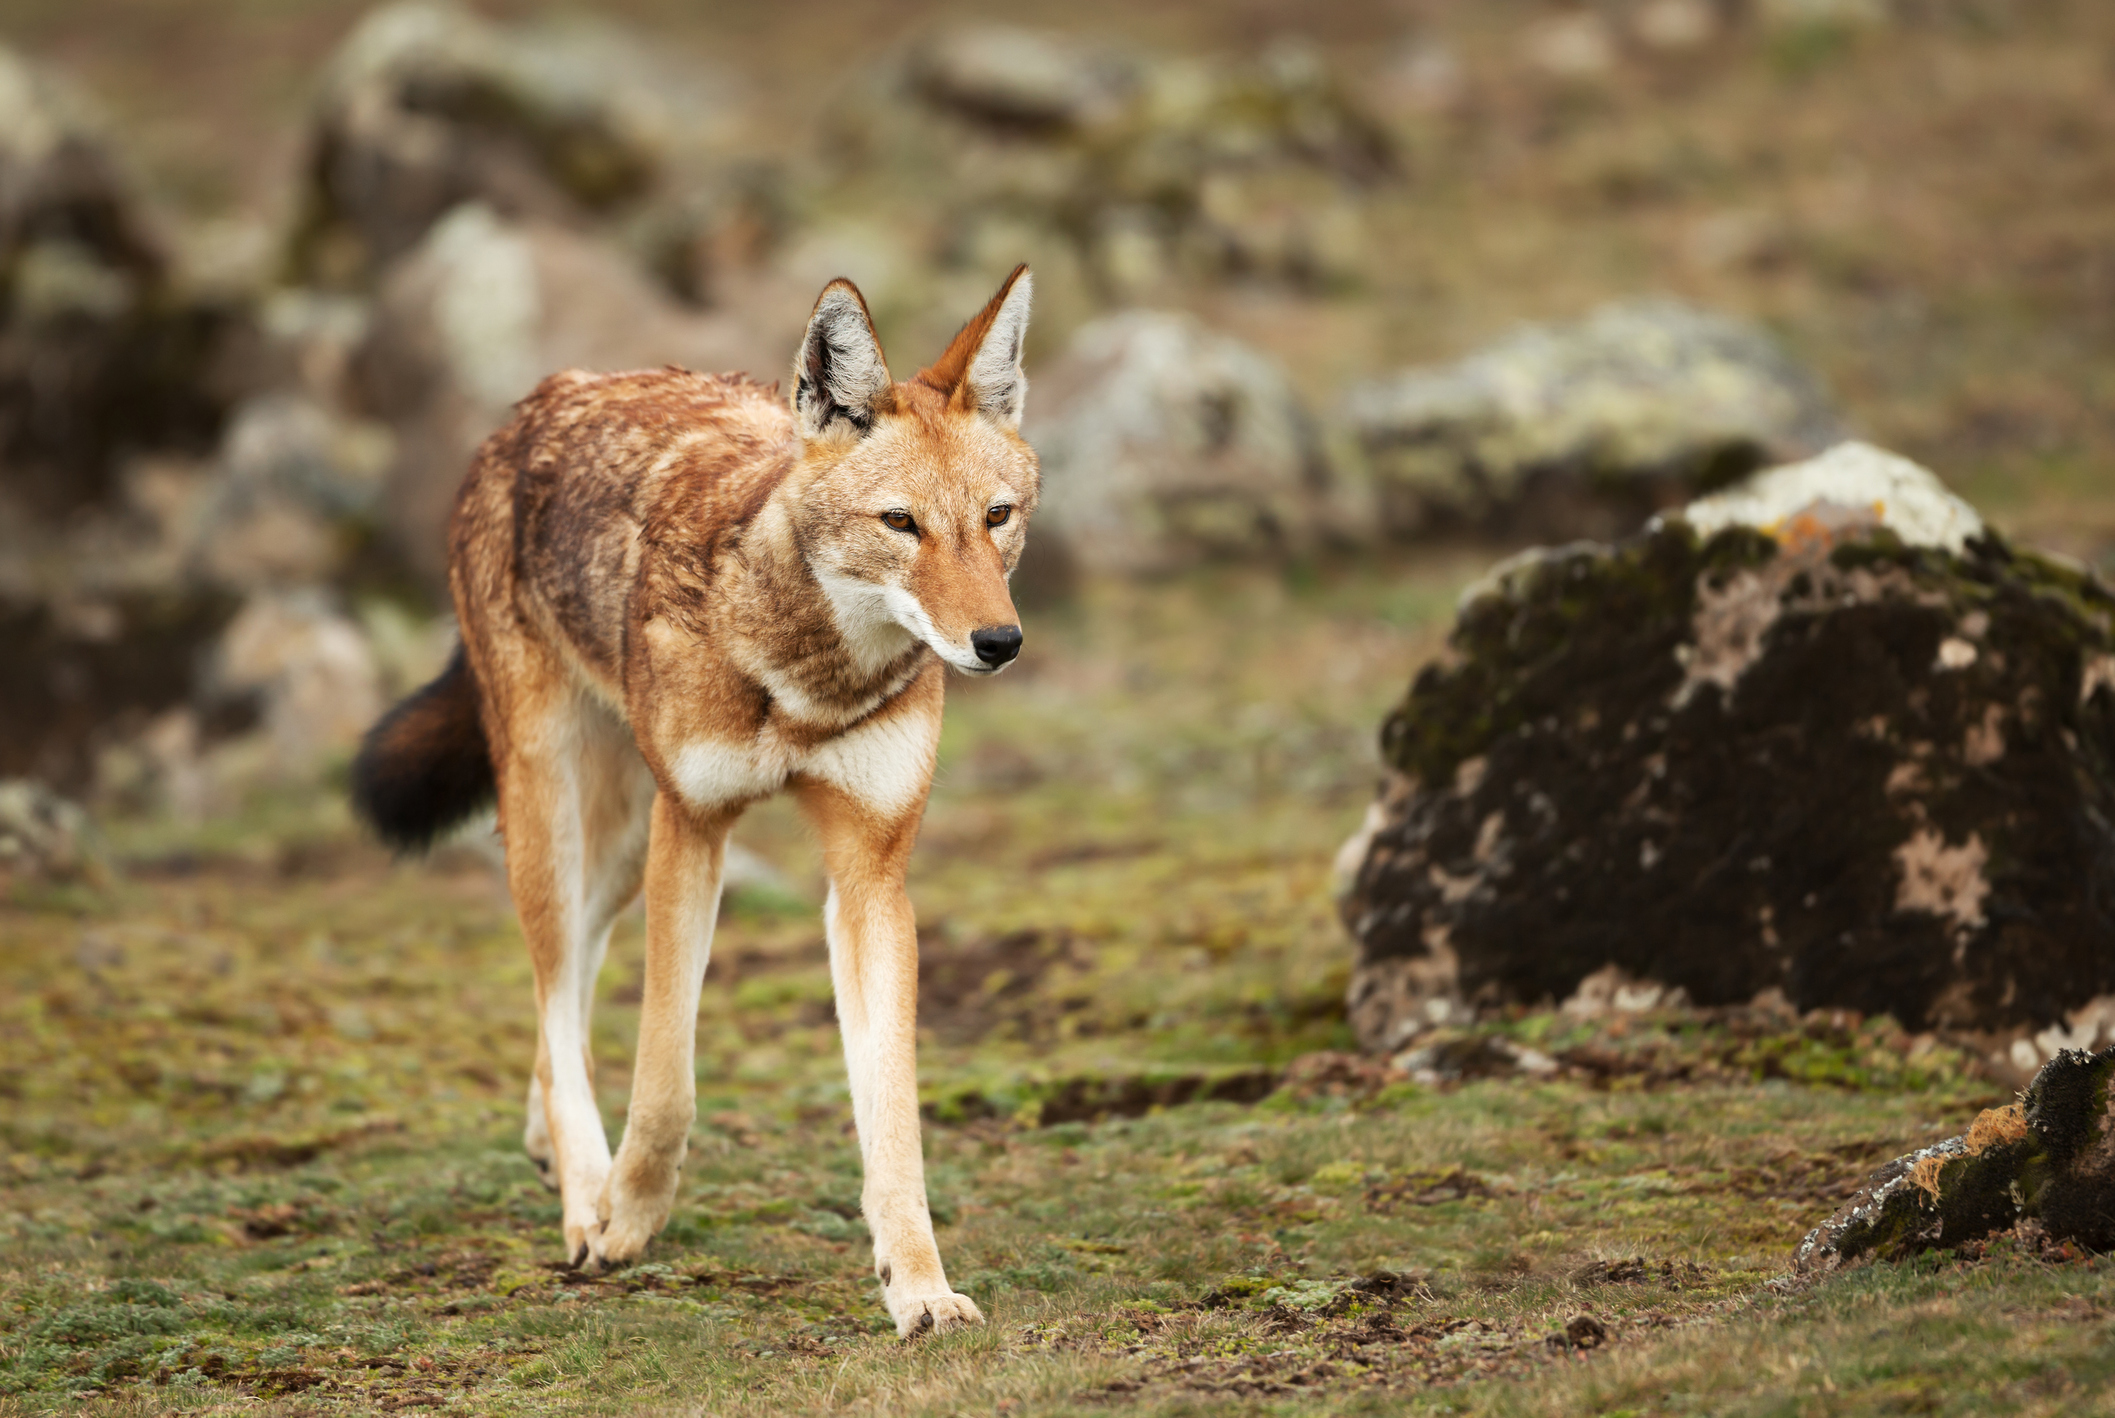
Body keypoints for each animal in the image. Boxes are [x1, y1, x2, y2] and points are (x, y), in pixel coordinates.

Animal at [349, 266, 1037, 1337]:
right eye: (902, 525)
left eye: (996, 517)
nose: (998, 643)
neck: (807, 676)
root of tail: (545, 397)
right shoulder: (695, 828)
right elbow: (664, 1079)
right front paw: (623, 1221)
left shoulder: (869, 875)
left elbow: (893, 1118)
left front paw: (920, 1289)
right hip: (557, 813)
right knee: (554, 985)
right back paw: (581, 1195)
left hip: (620, 847)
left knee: (568, 983)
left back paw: (550, 1147)